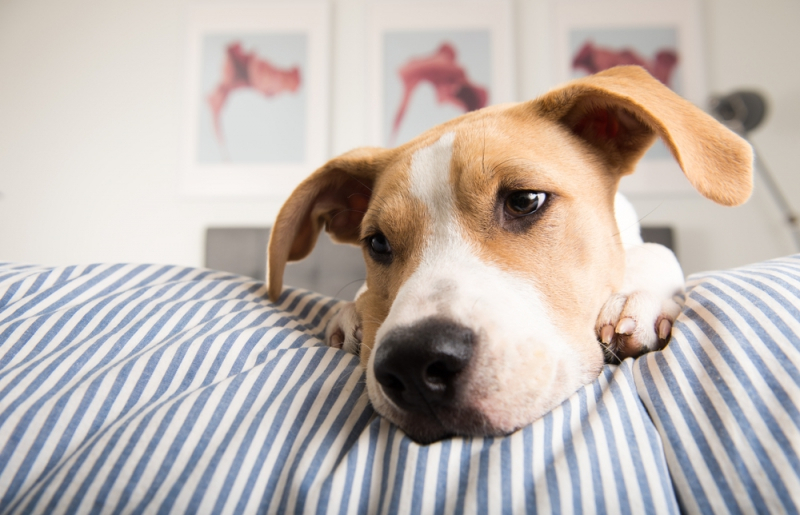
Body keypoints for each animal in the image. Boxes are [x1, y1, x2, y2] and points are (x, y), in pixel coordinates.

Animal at [266, 65, 752, 444]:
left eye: (525, 201)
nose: (413, 362)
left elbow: (656, 249)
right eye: (378, 243)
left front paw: (635, 297)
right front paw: (352, 313)